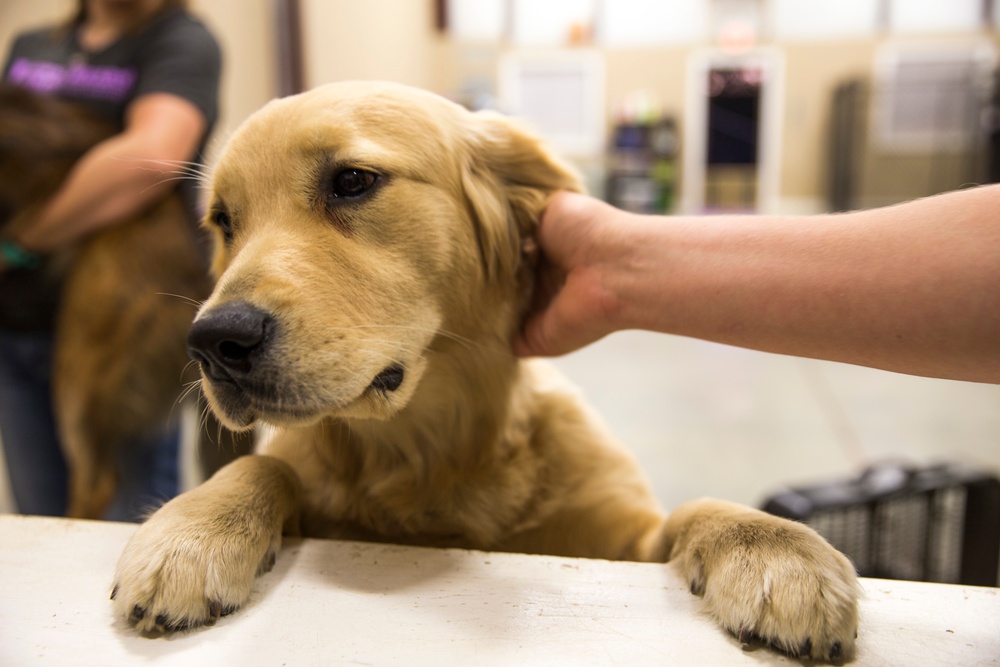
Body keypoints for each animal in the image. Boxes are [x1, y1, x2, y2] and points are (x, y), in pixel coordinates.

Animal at [111, 82, 860, 664]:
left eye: (351, 180)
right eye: (223, 220)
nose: (213, 342)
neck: (432, 452)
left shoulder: (623, 538)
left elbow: (697, 508)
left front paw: (780, 552)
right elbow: (264, 465)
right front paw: (190, 530)